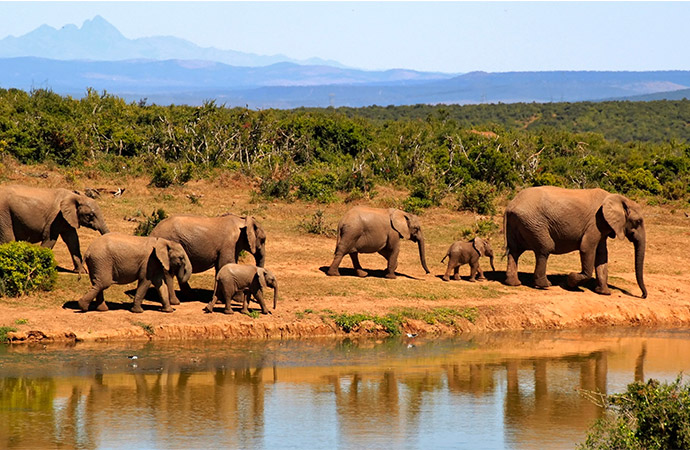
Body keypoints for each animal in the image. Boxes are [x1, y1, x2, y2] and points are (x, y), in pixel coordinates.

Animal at [500, 186, 644, 298]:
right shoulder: (595, 223)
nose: (643, 295)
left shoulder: (603, 226)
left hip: (519, 223)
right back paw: (545, 285)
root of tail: (510, 206)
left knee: (514, 251)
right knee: (545, 248)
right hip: (533, 223)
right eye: (638, 221)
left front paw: (604, 293)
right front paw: (570, 281)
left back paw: (514, 283)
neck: (618, 198)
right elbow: (587, 248)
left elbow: (602, 255)